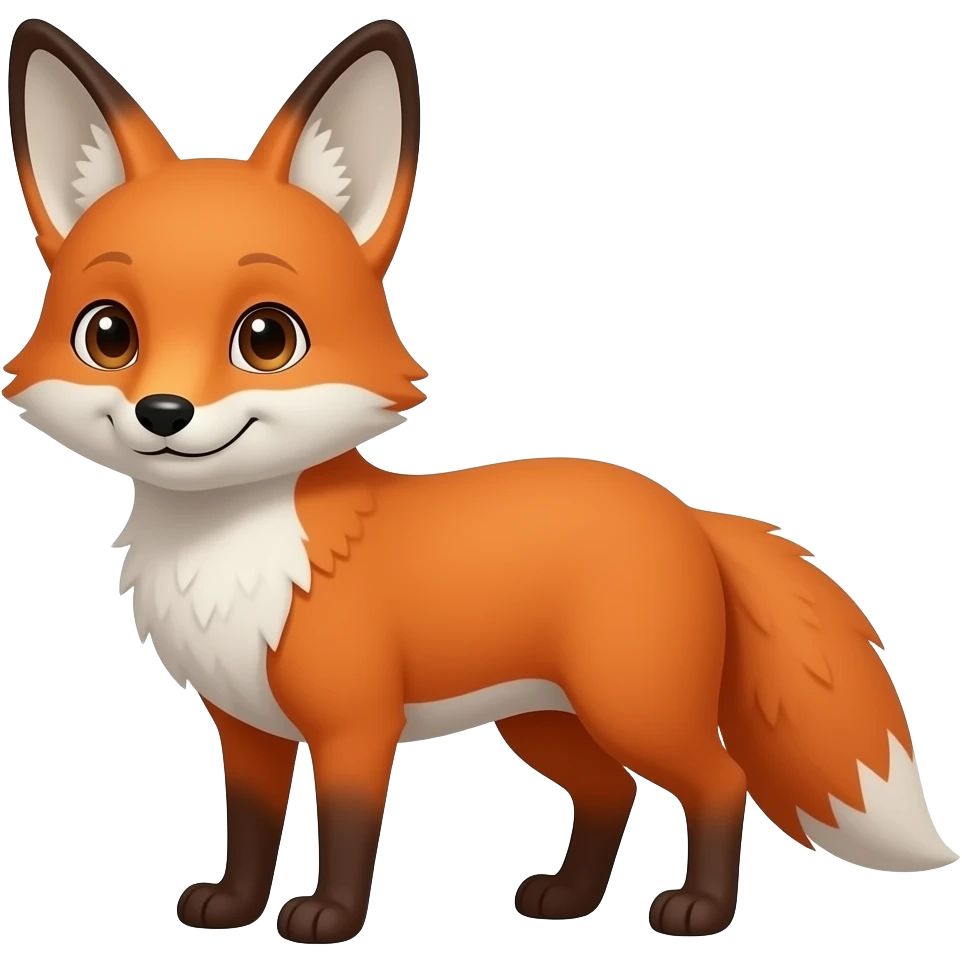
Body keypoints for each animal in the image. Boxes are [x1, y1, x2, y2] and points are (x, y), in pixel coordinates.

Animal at [4, 15, 957, 945]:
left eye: (266, 339)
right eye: (108, 334)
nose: (163, 414)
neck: (233, 559)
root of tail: (687, 509)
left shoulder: (357, 723)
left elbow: (346, 829)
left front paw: (327, 920)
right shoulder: (246, 728)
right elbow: (250, 827)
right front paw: (234, 909)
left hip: (631, 705)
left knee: (720, 781)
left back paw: (699, 912)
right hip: (543, 720)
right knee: (612, 791)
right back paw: (568, 899)